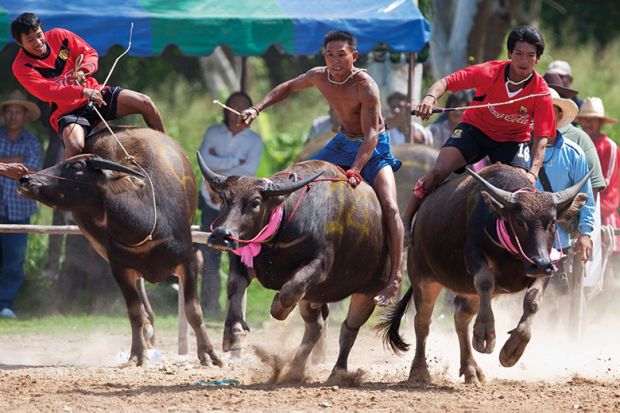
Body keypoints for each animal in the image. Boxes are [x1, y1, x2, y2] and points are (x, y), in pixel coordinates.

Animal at [18, 127, 222, 366]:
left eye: (75, 167)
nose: (25, 178)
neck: (149, 224)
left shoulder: (188, 263)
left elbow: (193, 311)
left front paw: (209, 355)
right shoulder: (120, 269)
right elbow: (134, 312)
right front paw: (136, 355)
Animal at [199, 155, 390, 384]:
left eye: (255, 203)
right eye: (225, 199)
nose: (221, 235)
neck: (282, 228)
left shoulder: (319, 265)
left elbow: (290, 289)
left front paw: (278, 308)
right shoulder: (244, 256)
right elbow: (235, 287)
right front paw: (234, 335)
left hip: (370, 290)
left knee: (349, 329)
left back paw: (337, 373)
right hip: (314, 297)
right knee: (316, 327)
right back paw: (295, 370)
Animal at [378, 163, 592, 384]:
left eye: (552, 222)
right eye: (520, 221)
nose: (541, 263)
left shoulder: (543, 269)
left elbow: (532, 301)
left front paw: (512, 349)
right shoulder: (474, 256)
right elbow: (485, 281)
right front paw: (485, 333)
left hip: (468, 292)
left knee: (461, 318)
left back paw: (471, 369)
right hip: (423, 278)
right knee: (422, 322)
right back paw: (420, 372)